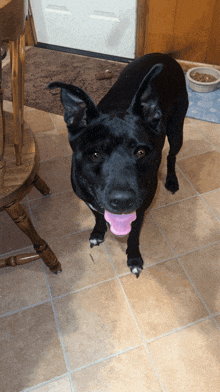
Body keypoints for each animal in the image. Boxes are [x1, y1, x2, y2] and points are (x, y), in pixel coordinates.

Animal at [47, 53, 188, 278]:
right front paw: (98, 232)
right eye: (95, 154)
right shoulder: (89, 200)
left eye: (141, 152)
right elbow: (98, 216)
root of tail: (164, 55)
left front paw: (134, 259)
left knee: (172, 156)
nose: (122, 201)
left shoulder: (140, 211)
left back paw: (172, 180)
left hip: (177, 130)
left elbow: (133, 236)